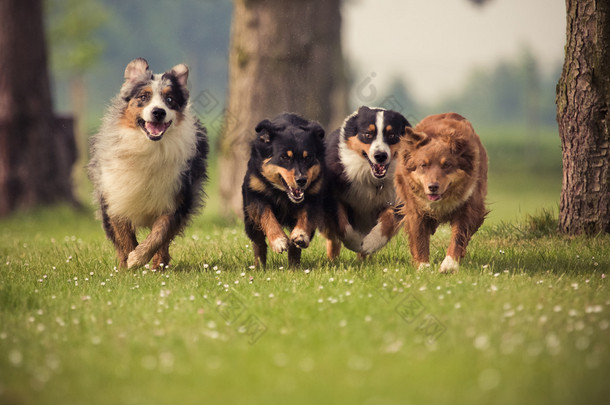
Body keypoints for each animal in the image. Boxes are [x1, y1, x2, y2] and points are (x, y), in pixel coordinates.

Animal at [86, 57, 208, 268]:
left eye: (170, 100)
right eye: (143, 96)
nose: (158, 112)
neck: (149, 146)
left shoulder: (177, 196)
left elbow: (160, 233)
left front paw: (139, 258)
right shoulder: (114, 196)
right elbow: (124, 235)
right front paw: (129, 263)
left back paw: (158, 265)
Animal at [242, 112, 326, 266]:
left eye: (308, 157)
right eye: (284, 157)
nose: (301, 180)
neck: (282, 193)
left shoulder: (313, 196)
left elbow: (306, 215)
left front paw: (300, 235)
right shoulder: (255, 194)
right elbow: (267, 215)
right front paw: (278, 241)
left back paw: (294, 266)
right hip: (250, 221)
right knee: (258, 242)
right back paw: (260, 266)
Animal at [320, 105, 410, 258]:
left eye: (392, 135)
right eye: (368, 134)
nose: (380, 156)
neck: (372, 178)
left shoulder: (398, 199)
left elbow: (388, 221)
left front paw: (370, 243)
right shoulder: (333, 196)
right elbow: (342, 224)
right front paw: (355, 242)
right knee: (332, 239)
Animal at [392, 112, 486, 274]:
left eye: (447, 165)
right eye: (423, 165)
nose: (432, 187)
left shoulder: (469, 206)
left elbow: (458, 236)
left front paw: (449, 265)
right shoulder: (415, 209)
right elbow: (419, 237)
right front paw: (423, 267)